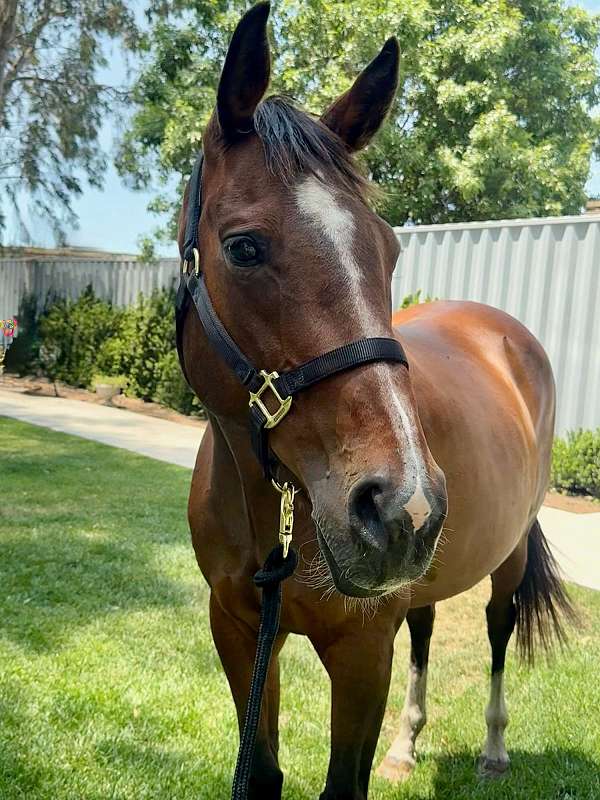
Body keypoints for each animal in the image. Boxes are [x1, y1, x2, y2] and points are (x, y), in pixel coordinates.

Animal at [177, 4, 574, 798]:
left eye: (388, 251)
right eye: (243, 247)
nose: (401, 504)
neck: (275, 511)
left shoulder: (361, 652)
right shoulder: (237, 629)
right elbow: (262, 771)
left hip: (507, 555)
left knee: (497, 629)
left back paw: (493, 749)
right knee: (424, 626)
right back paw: (406, 748)